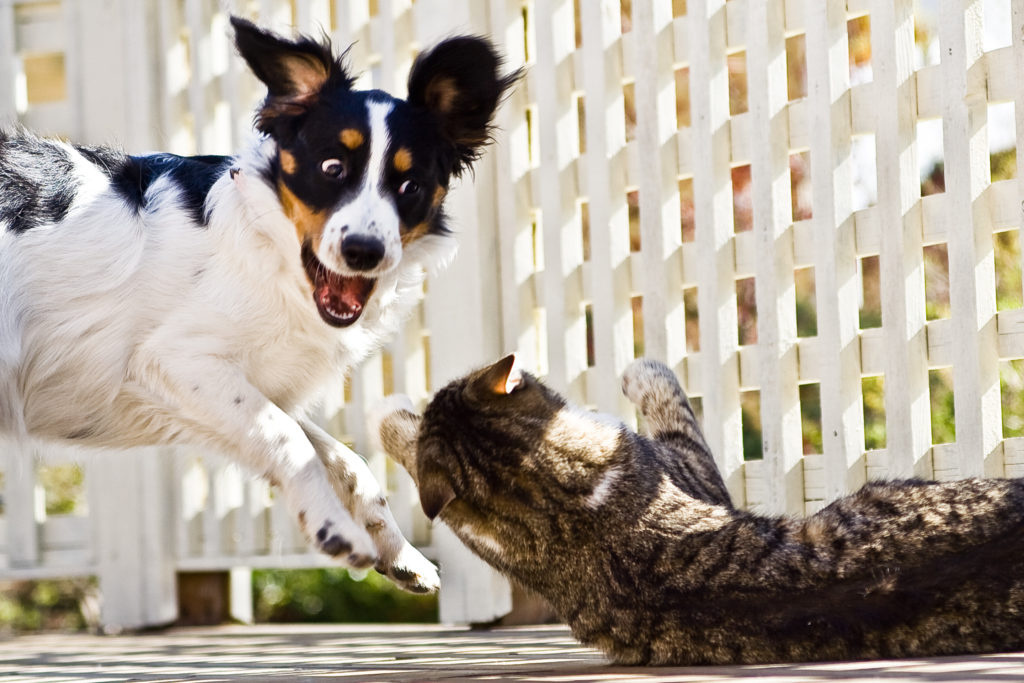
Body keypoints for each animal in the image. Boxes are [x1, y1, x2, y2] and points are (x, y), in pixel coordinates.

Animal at [0, 17, 516, 593]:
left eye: (411, 185)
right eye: (331, 167)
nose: (364, 251)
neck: (270, 250)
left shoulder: (246, 391)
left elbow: (344, 461)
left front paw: (400, 552)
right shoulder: (178, 362)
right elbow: (290, 440)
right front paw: (336, 531)